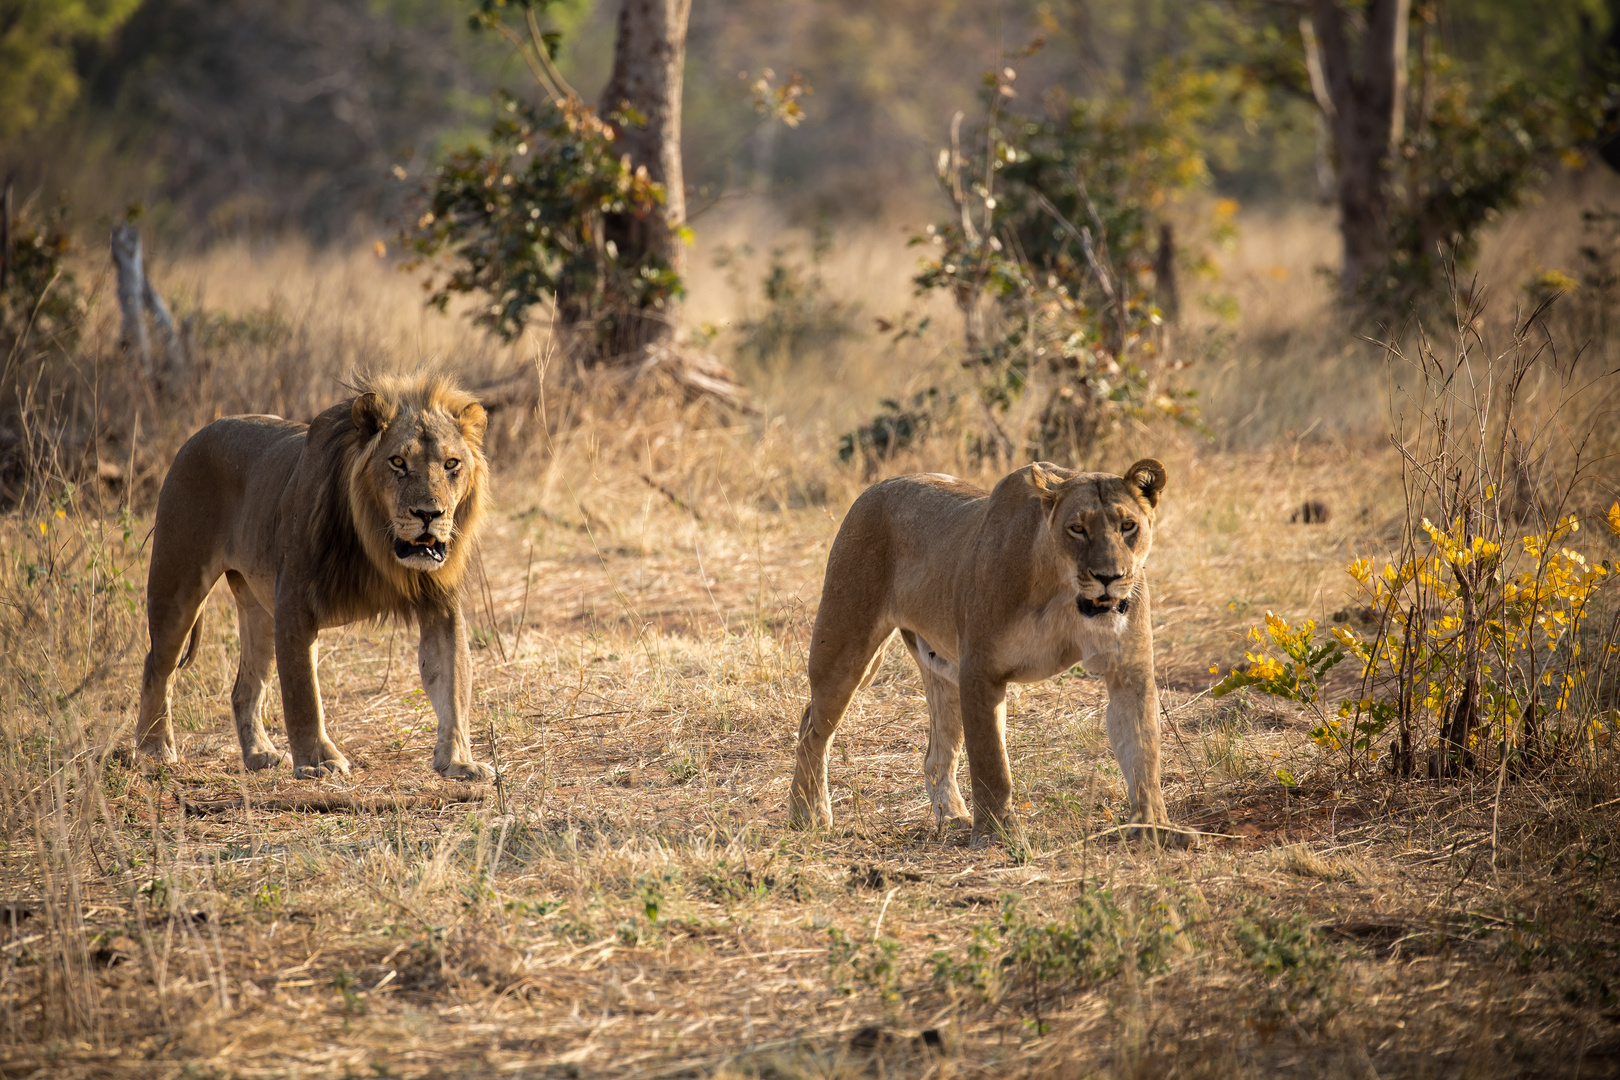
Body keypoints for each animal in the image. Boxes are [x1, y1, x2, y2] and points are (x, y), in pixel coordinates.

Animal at [136, 375, 492, 780]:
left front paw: (460, 761)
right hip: (177, 586)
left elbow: (453, 684)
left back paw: (259, 753)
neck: (379, 545)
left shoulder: (441, 606)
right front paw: (319, 761)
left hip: (260, 611)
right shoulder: (294, 605)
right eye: (398, 462)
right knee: (157, 667)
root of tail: (198, 434)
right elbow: (304, 693)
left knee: (244, 689)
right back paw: (154, 748)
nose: (429, 514)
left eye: (452, 464)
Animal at [790, 459, 1185, 848]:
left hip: (941, 670)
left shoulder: (1128, 671)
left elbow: (1143, 752)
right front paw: (997, 834)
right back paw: (808, 816)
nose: (1109, 576)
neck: (1062, 589)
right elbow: (991, 762)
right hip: (847, 646)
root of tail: (878, 485)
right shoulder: (980, 671)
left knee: (937, 753)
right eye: (1076, 529)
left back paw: (952, 816)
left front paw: (1154, 827)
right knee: (812, 727)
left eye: (1128, 526)